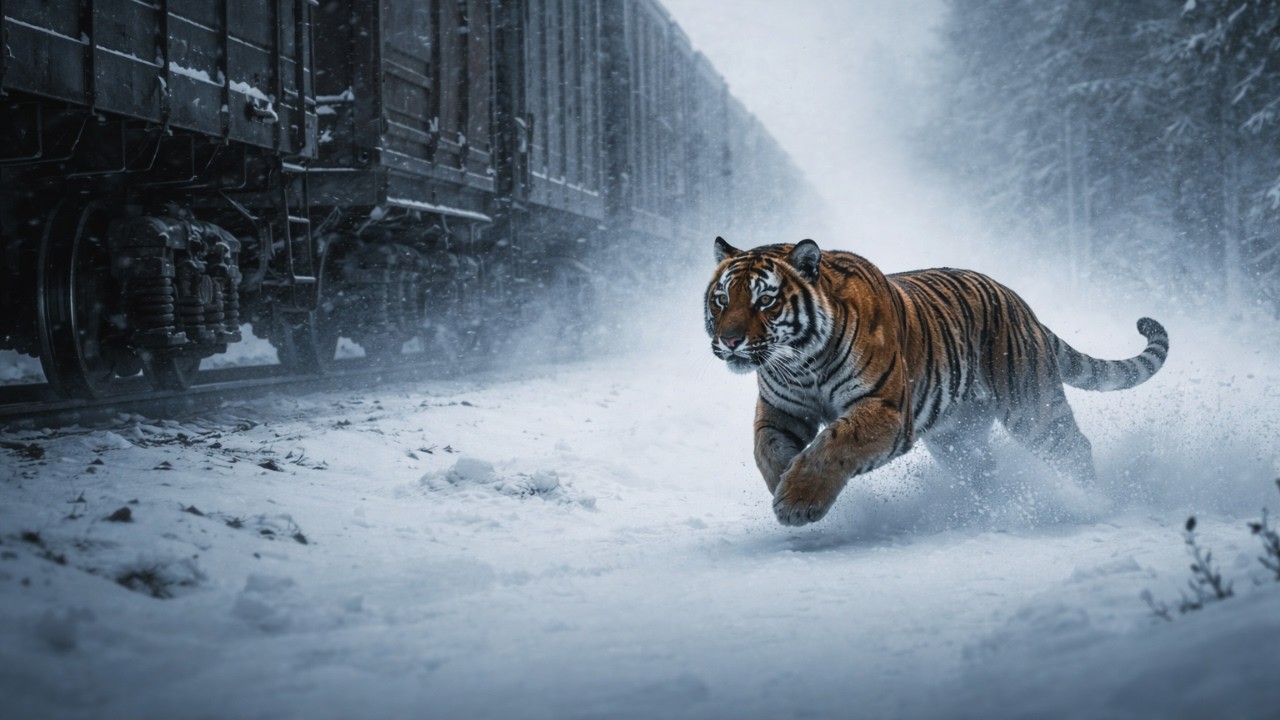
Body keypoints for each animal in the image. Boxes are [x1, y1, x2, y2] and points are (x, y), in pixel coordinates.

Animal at [704, 237, 1169, 527]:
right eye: (722, 299)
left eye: (765, 300)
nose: (729, 340)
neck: (801, 361)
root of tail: (1021, 305)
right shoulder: (782, 410)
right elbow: (767, 450)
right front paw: (782, 483)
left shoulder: (885, 410)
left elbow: (832, 447)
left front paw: (798, 503)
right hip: (956, 438)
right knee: (984, 469)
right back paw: (986, 508)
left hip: (1032, 408)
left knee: (1074, 448)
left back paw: (1089, 502)